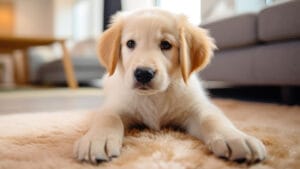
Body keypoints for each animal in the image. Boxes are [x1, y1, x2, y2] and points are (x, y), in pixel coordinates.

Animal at [74, 8, 266, 164]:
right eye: (130, 43)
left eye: (166, 44)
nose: (143, 73)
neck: (154, 97)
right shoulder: (115, 104)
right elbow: (108, 118)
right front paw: (97, 139)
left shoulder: (197, 106)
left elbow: (212, 118)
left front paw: (235, 137)